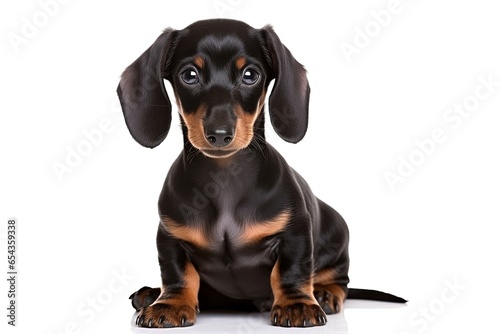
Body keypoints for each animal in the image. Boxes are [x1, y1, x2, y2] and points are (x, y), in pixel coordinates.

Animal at [116, 18, 402, 328]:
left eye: (250, 75)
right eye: (189, 75)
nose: (219, 134)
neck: (224, 180)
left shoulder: (295, 232)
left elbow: (290, 271)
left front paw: (296, 304)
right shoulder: (169, 236)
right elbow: (178, 273)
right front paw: (170, 303)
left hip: (337, 236)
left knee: (340, 280)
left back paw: (324, 293)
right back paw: (150, 293)